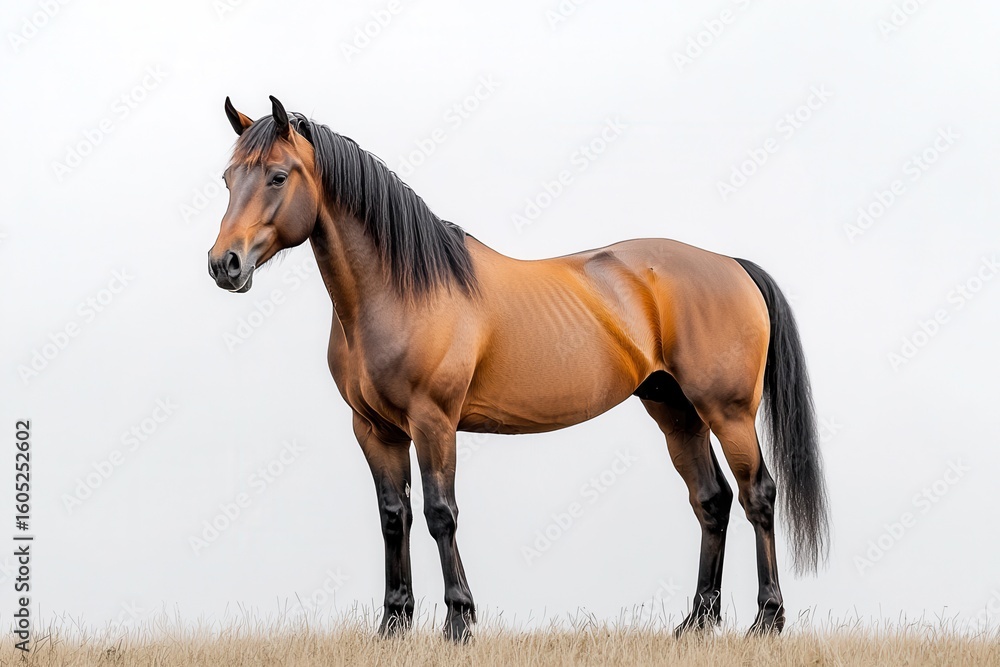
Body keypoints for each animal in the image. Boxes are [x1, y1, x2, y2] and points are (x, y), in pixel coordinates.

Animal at [208, 96, 829, 642]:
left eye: (278, 176)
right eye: (228, 178)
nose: (224, 264)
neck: (401, 290)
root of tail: (731, 264)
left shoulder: (433, 422)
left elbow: (439, 513)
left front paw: (459, 622)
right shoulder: (374, 429)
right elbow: (393, 516)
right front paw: (393, 625)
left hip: (728, 413)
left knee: (757, 495)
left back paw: (766, 620)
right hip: (676, 412)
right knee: (712, 501)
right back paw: (697, 622)